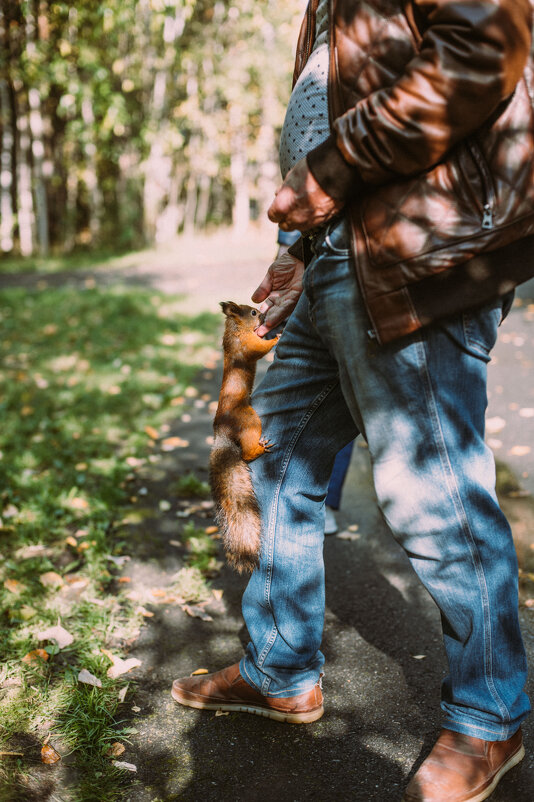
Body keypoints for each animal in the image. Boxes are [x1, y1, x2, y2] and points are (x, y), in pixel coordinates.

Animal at [209, 300, 278, 568]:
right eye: (253, 312)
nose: (265, 315)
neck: (235, 331)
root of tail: (222, 432)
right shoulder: (248, 345)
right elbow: (261, 347)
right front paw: (277, 336)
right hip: (249, 420)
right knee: (247, 454)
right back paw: (260, 449)